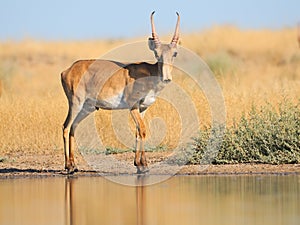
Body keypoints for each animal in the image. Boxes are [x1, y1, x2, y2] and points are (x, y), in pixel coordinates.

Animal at [59, 11, 179, 173]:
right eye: (156, 53)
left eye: (174, 53)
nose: (167, 78)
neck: (148, 73)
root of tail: (67, 70)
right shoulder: (133, 106)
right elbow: (142, 130)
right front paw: (143, 165)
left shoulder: (143, 108)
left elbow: (138, 131)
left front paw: (140, 163)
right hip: (75, 104)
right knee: (65, 127)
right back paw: (69, 167)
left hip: (87, 108)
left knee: (73, 127)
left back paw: (74, 165)